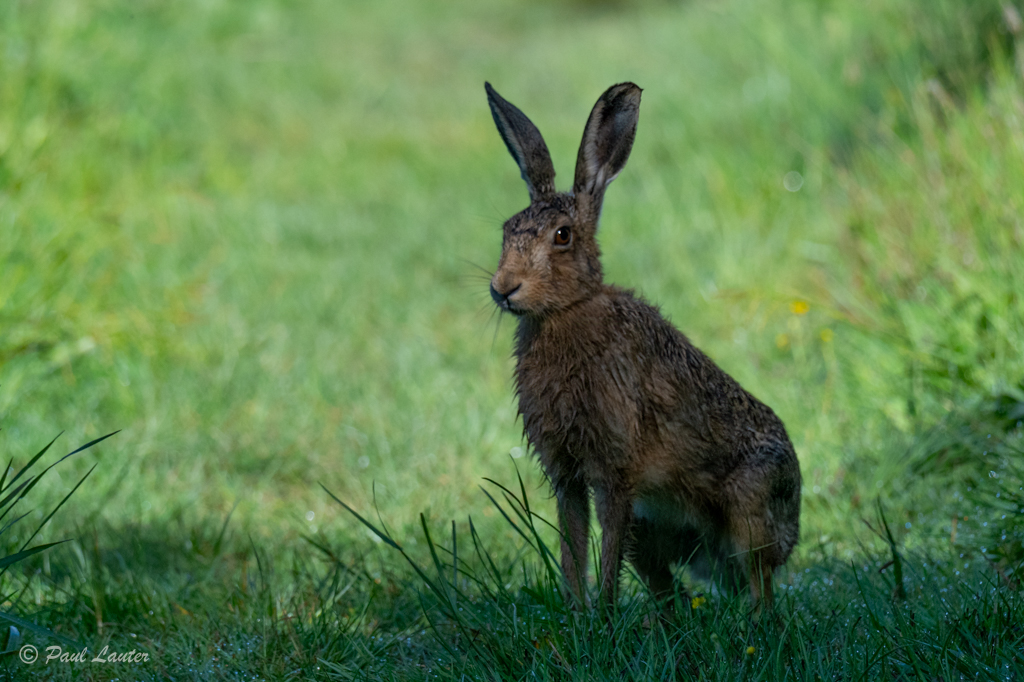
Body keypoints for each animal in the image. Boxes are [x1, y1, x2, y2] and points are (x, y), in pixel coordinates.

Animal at [483, 81, 802, 610]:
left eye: (562, 236)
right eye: (507, 230)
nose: (504, 288)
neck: (567, 312)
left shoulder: (615, 469)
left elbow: (605, 547)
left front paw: (605, 613)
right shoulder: (567, 474)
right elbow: (573, 546)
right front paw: (577, 613)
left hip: (751, 507)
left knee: (761, 586)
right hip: (650, 531)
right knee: (669, 591)